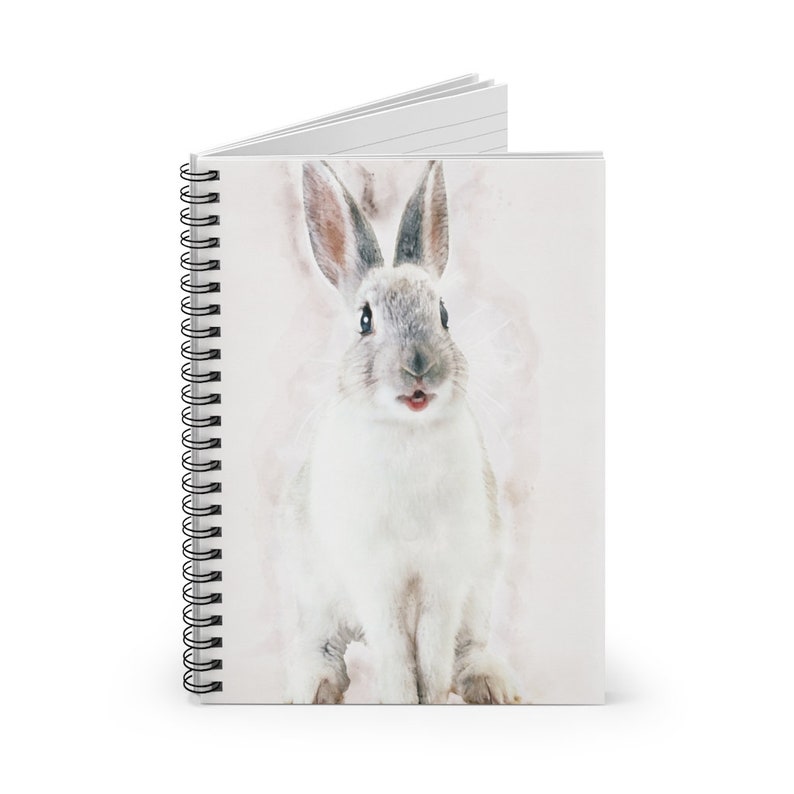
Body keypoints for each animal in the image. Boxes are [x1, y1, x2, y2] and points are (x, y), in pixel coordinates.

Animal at [280, 160, 520, 704]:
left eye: (445, 314)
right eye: (365, 320)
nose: (419, 366)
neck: (407, 432)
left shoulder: (444, 579)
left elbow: (431, 654)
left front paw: (430, 700)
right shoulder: (376, 579)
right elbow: (397, 654)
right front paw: (402, 700)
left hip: (481, 590)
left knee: (468, 646)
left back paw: (492, 685)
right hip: (313, 593)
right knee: (325, 645)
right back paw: (312, 687)